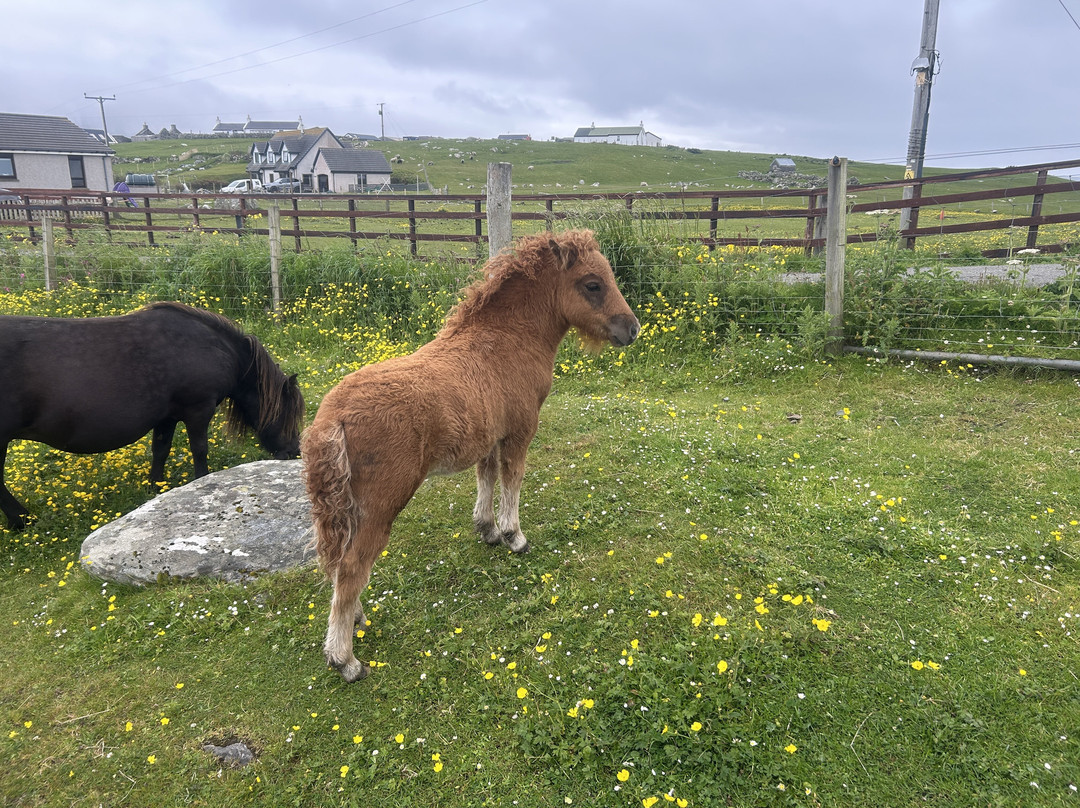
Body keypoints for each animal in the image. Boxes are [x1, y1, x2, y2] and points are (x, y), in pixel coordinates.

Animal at [0, 301, 304, 531]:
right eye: (289, 414)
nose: (293, 451)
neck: (214, 348)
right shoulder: (198, 410)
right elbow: (199, 450)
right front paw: (200, 482)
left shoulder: (166, 418)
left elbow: (161, 450)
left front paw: (155, 490)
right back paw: (22, 520)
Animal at [302, 229, 640, 682]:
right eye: (592, 285)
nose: (632, 329)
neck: (506, 341)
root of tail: (331, 418)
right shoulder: (520, 430)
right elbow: (512, 478)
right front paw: (514, 536)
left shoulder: (488, 435)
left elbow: (487, 476)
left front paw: (488, 530)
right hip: (380, 504)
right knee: (352, 566)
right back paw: (345, 659)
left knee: (341, 564)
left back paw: (354, 619)